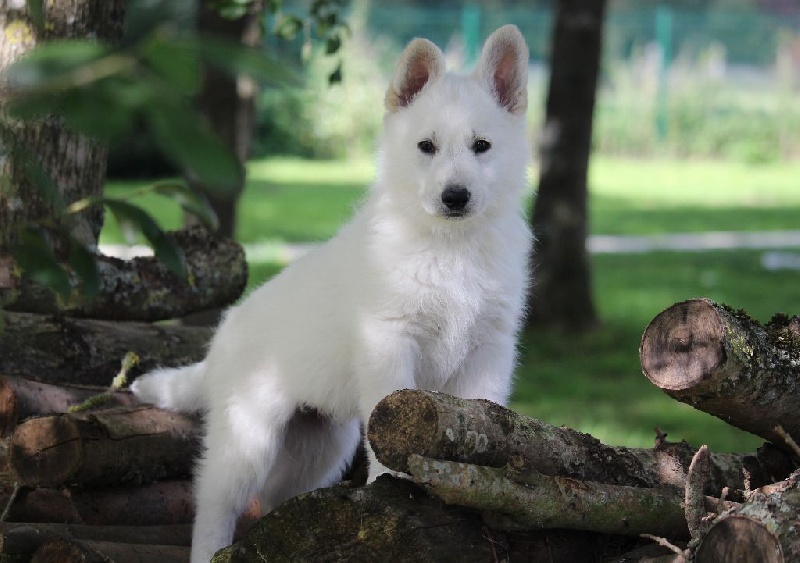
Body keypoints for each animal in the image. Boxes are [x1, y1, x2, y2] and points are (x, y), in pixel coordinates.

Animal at [133, 24, 532, 560]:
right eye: (426, 146)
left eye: (482, 146)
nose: (455, 198)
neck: (450, 246)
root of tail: (219, 343)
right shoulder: (390, 342)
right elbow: (389, 433)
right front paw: (393, 488)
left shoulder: (489, 348)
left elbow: (483, 418)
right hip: (247, 438)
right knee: (217, 505)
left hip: (321, 446)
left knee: (277, 500)